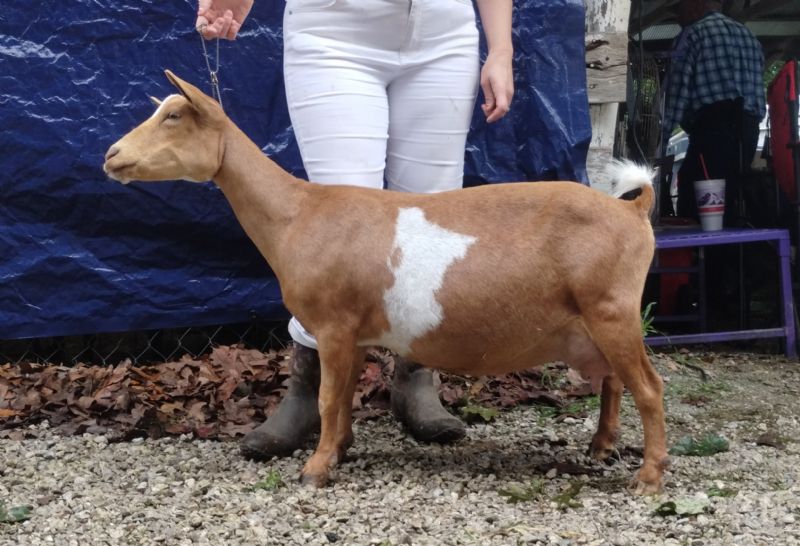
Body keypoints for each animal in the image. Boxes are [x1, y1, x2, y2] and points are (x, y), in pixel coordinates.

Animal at [104, 70, 667, 495]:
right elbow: (342, 396)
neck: (298, 212)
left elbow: (328, 398)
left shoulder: (333, 324)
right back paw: (601, 447)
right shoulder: (352, 332)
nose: (111, 155)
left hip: (612, 308)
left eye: (174, 116)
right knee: (614, 381)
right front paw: (339, 451)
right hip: (594, 320)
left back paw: (648, 477)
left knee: (648, 387)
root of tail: (633, 209)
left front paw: (315, 470)